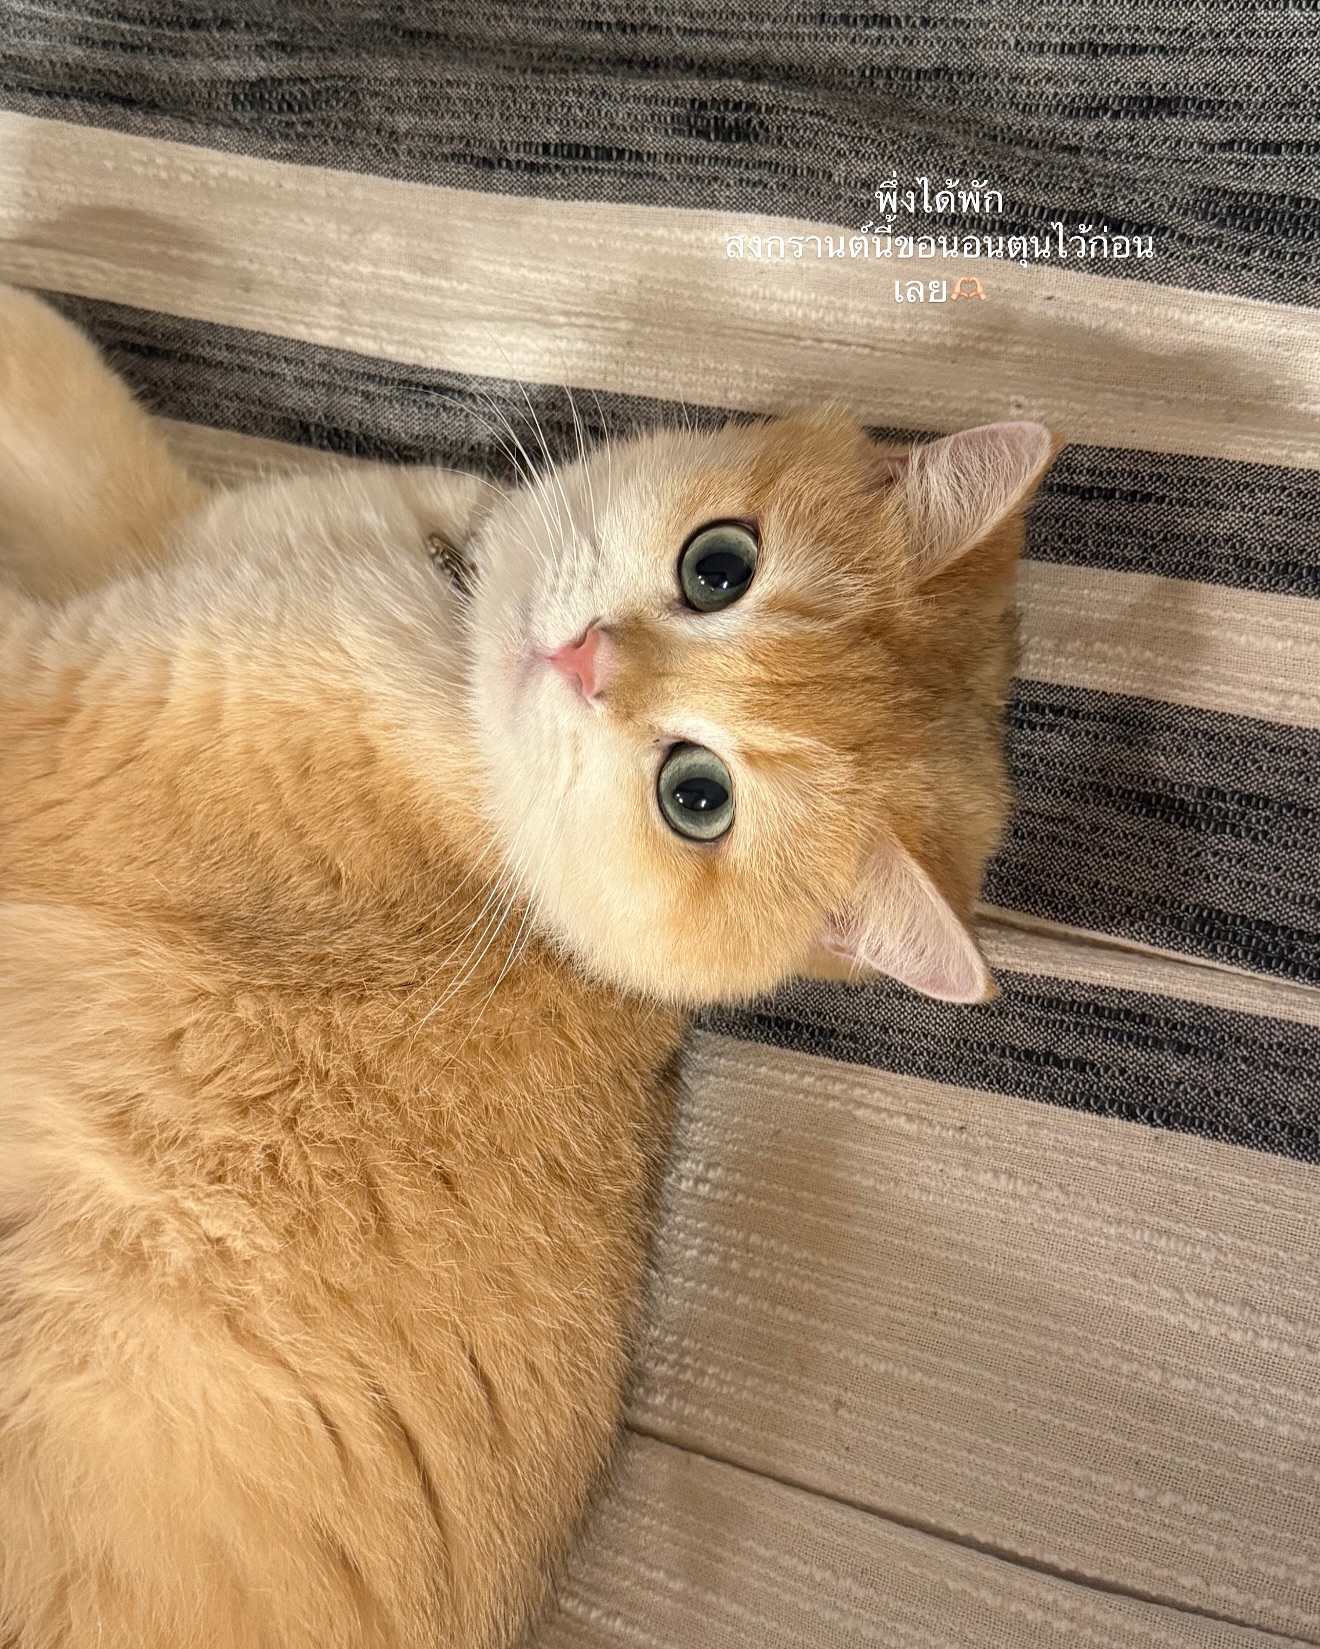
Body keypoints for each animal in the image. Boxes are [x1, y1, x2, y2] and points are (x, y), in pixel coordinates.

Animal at [0, 284, 1058, 1648]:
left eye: (697, 796)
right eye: (720, 565)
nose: (585, 659)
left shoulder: (61, 703)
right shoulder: (154, 541)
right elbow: (69, 387)